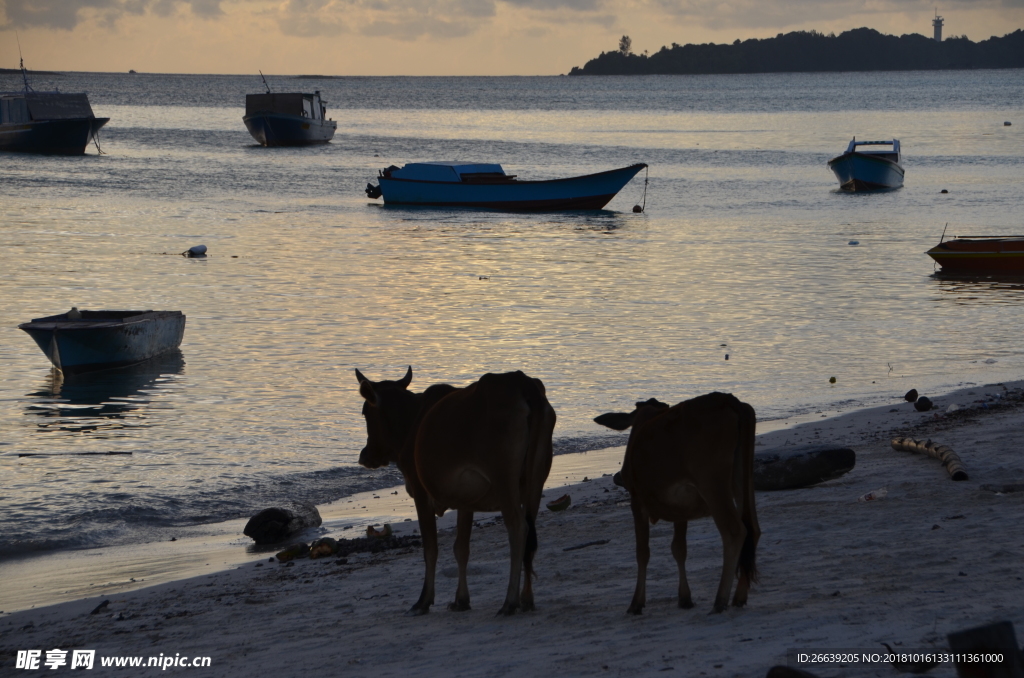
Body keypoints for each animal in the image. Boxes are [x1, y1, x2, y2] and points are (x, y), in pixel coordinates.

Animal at [356, 368, 557, 618]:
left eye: (365, 412)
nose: (364, 455)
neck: (413, 421)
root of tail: (522, 382)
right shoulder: (465, 501)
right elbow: (461, 548)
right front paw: (461, 600)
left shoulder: (421, 491)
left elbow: (430, 549)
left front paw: (423, 601)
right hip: (535, 481)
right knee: (530, 531)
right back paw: (527, 598)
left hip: (504, 482)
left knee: (518, 527)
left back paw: (509, 602)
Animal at [598, 393, 757, 614]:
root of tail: (726, 399)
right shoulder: (681, 508)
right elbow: (679, 549)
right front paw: (685, 597)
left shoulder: (637, 501)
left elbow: (642, 552)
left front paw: (636, 602)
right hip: (743, 480)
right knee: (753, 530)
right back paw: (739, 596)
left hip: (713, 485)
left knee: (735, 531)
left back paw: (720, 601)